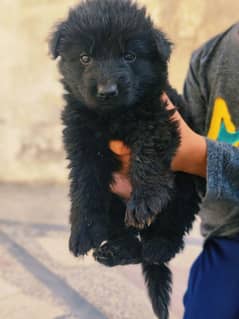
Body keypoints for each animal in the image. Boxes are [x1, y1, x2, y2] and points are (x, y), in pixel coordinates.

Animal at [49, 1, 201, 318]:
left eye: (129, 56)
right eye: (85, 58)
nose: (107, 91)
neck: (112, 118)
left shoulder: (157, 119)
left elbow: (147, 157)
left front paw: (143, 202)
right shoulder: (80, 139)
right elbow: (83, 186)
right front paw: (82, 230)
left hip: (183, 195)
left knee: (168, 236)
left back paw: (156, 246)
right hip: (115, 208)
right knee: (129, 240)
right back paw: (115, 250)